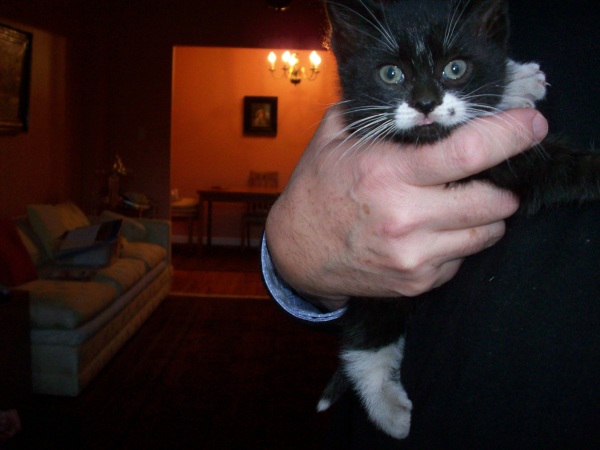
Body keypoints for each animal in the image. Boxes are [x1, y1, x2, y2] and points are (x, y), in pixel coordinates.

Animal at [317, 0, 600, 440]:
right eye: (391, 74)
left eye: (455, 68)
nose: (425, 102)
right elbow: (545, 166)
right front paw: (594, 169)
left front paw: (516, 81)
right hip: (378, 285)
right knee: (364, 343)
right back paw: (390, 413)